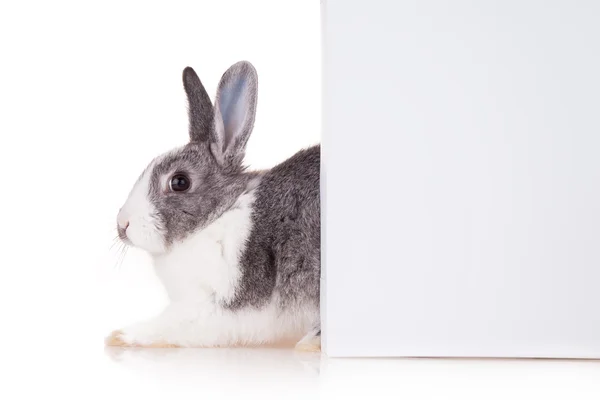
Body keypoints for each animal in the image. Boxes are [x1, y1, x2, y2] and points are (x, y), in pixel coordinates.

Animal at [105, 61, 322, 352]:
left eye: (180, 182)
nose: (123, 225)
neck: (217, 217)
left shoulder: (221, 305)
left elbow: (174, 323)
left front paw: (121, 336)